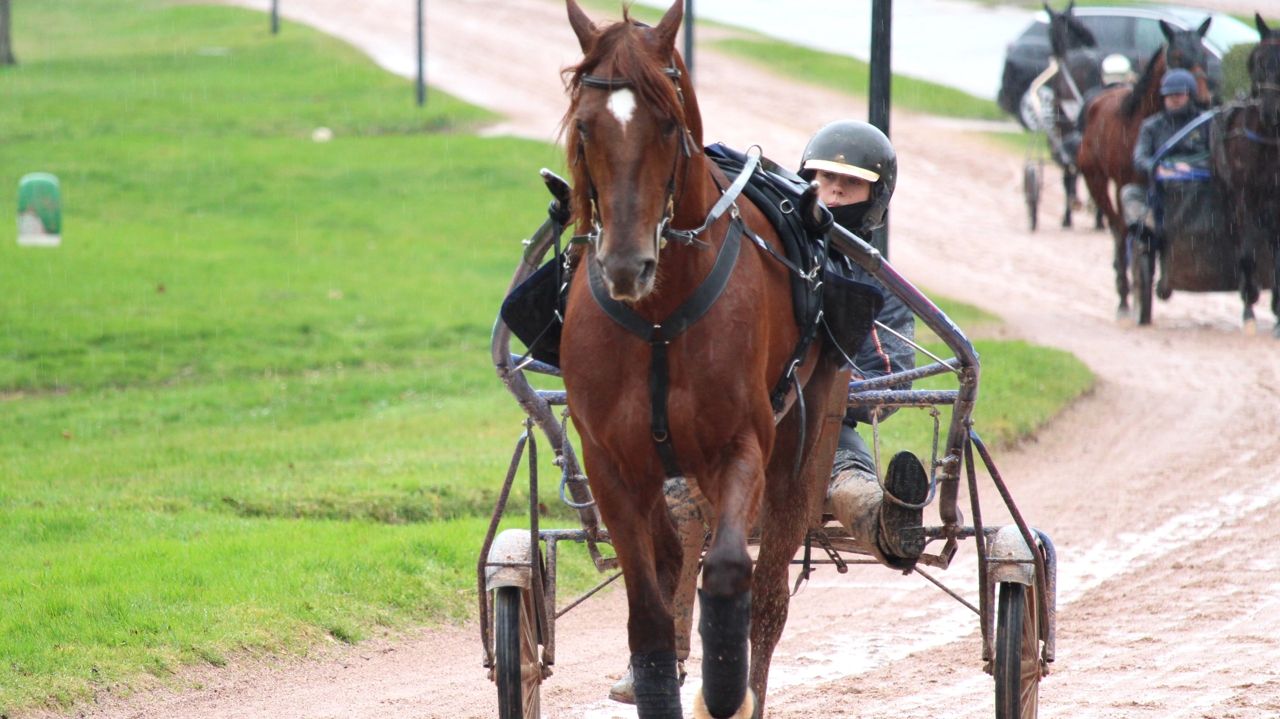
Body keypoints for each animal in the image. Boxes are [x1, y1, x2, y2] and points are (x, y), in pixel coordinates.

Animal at [560, 2, 849, 711]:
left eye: (666, 121)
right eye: (585, 125)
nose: (626, 264)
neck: (658, 317)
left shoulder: (741, 444)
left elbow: (725, 571)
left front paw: (724, 690)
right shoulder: (610, 464)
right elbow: (648, 609)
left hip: (802, 445)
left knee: (767, 597)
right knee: (671, 562)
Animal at [1075, 18, 1213, 314]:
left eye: (1204, 56)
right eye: (1177, 56)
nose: (1203, 99)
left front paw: (1162, 282)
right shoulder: (1126, 183)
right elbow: (1132, 229)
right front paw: (1134, 287)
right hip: (1096, 180)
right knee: (1117, 228)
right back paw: (1123, 290)